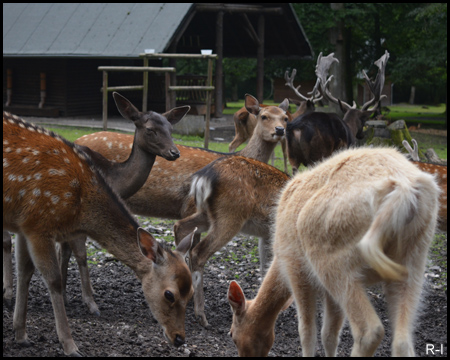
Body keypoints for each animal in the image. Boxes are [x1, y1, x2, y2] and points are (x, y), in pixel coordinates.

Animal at [3, 113, 197, 358]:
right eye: (169, 294)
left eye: (191, 293)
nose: (180, 338)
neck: (82, 206)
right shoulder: (39, 224)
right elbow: (54, 280)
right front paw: (70, 345)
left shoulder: (25, 226)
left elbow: (25, 272)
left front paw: (20, 333)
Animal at [229, 146, 440, 358]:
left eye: (232, 335)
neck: (278, 264)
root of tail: (403, 190)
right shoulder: (328, 294)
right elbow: (329, 334)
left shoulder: (296, 269)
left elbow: (306, 331)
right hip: (414, 259)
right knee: (403, 341)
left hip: (331, 258)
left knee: (369, 331)